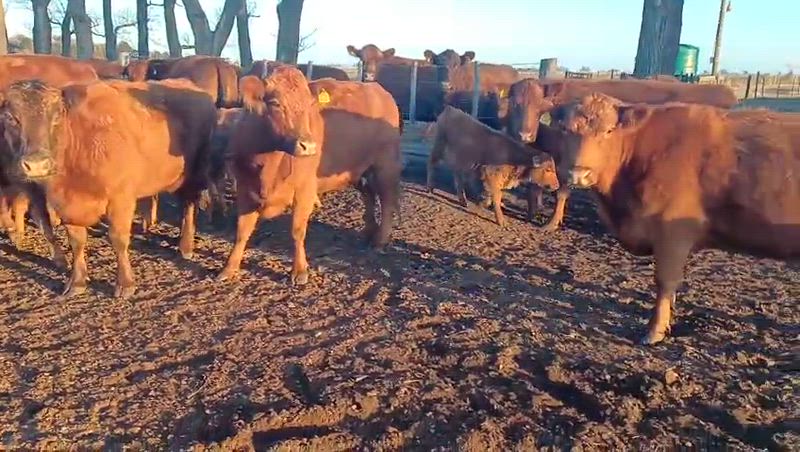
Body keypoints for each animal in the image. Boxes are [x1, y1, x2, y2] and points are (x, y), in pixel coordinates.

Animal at [0, 78, 218, 298]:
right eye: (10, 118)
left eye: (57, 116)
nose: (36, 164)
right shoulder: (67, 206)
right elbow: (76, 241)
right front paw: (77, 282)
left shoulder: (120, 199)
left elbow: (118, 239)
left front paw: (125, 284)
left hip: (194, 174)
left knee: (189, 205)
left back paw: (186, 245)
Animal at [218, 68, 402, 284]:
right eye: (275, 103)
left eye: (310, 104)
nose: (309, 146)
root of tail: (378, 89)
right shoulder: (245, 188)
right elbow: (242, 231)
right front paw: (229, 268)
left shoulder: (304, 189)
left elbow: (297, 231)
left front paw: (299, 271)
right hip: (358, 170)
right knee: (369, 196)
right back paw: (368, 232)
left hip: (385, 165)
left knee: (387, 200)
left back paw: (379, 241)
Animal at [426, 105, 558, 226]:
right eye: (548, 169)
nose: (557, 185)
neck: (512, 155)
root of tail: (450, 109)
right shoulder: (491, 176)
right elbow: (496, 198)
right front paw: (500, 220)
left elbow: (491, 196)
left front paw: (482, 203)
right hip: (439, 147)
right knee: (432, 164)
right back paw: (430, 188)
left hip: (460, 160)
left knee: (457, 177)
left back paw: (463, 200)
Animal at [507, 77, 740, 231]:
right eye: (514, 104)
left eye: (539, 106)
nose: (525, 134)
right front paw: (534, 210)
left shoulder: (570, 164)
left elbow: (561, 191)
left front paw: (551, 223)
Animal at [548, 92, 800, 345]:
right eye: (565, 129)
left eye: (609, 131)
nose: (578, 174)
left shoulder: (672, 233)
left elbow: (664, 282)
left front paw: (655, 330)